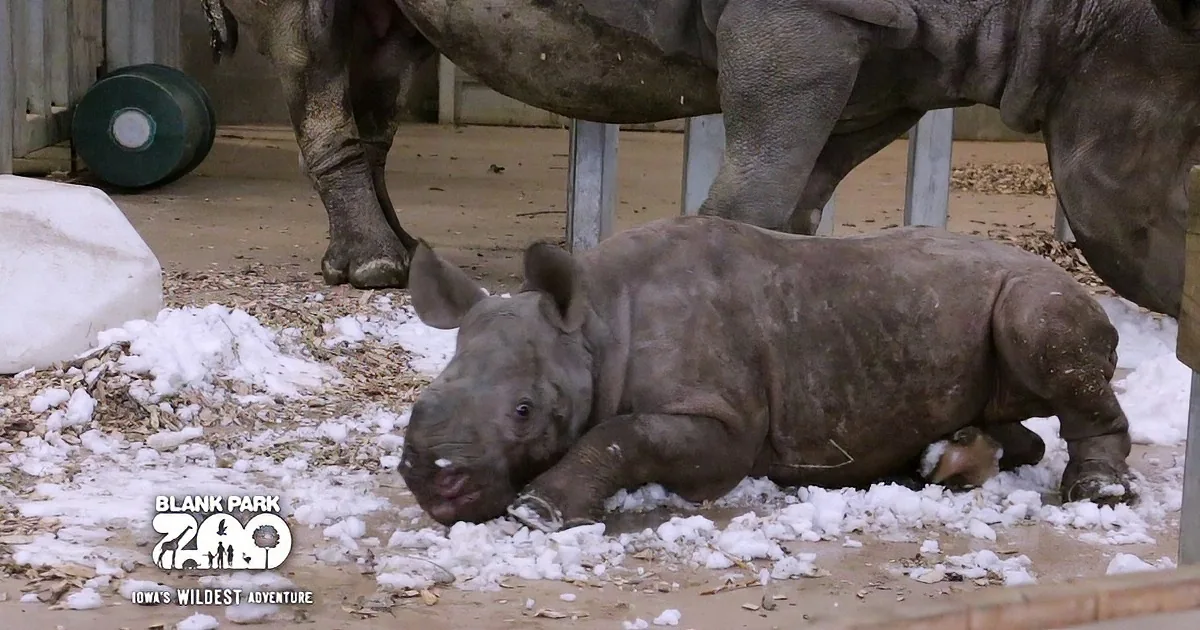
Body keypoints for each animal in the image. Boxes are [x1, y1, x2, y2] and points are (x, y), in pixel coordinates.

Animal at [202, 0, 1200, 318]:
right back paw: (375, 272)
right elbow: (766, 178)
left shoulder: (895, 62)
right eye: (1194, 187)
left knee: (383, 57)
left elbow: (805, 186)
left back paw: (398, 257)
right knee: (320, 54)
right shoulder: (806, 21)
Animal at [396, 215, 1134, 530]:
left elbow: (623, 434)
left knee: (1044, 333)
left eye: (524, 412)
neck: (597, 327)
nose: (431, 478)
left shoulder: (726, 429)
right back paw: (940, 462)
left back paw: (1098, 495)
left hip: (1039, 291)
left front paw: (538, 512)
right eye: (421, 400)